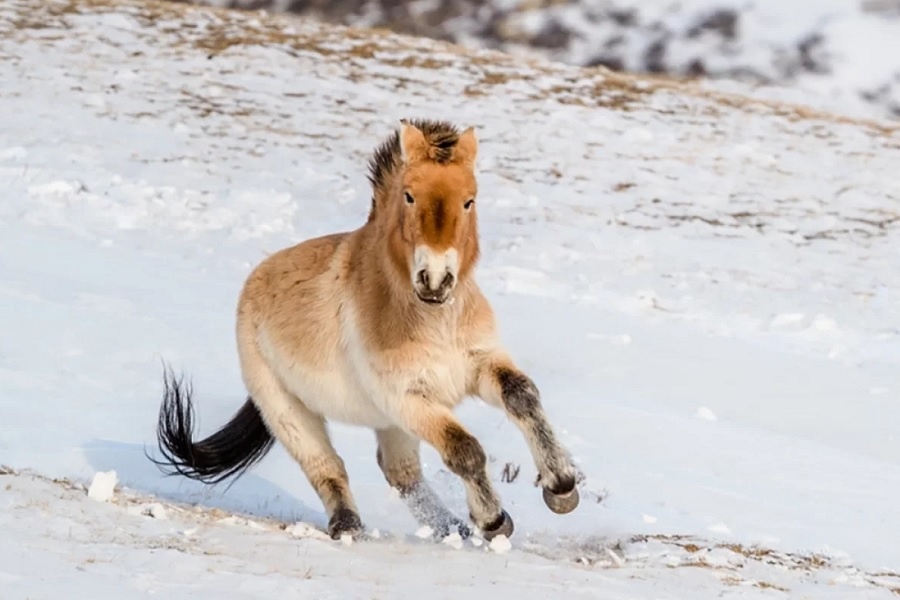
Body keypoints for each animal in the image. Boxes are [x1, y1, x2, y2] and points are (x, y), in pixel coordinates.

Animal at [151, 118, 580, 542]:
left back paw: (452, 531)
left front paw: (561, 488)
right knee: (328, 467)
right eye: (409, 196)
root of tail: (255, 281)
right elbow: (465, 449)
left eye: (469, 200)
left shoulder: (478, 363)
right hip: (287, 410)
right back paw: (350, 528)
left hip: (388, 424)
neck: (433, 319)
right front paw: (494, 521)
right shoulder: (408, 398)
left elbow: (521, 396)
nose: (435, 280)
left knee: (400, 472)